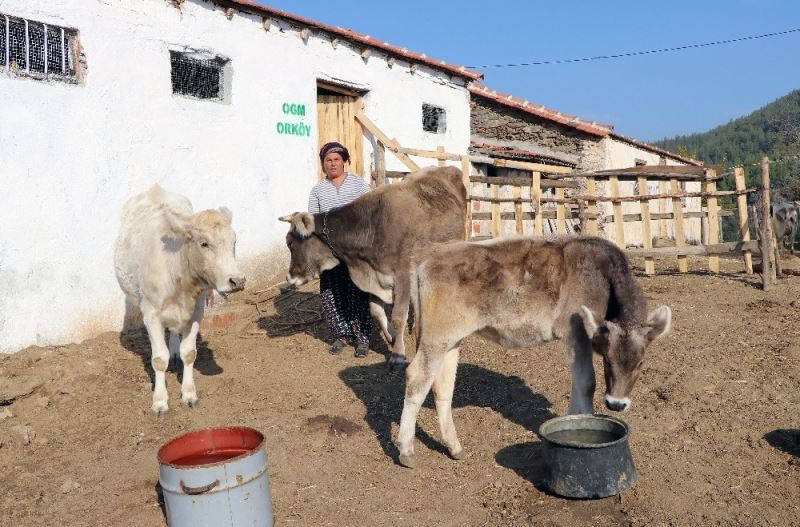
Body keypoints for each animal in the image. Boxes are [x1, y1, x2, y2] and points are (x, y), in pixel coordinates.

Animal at [113, 188, 244, 414]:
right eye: (204, 243)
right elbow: (158, 359)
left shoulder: (197, 310)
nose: (237, 280)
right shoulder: (151, 314)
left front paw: (189, 394)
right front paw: (159, 401)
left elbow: (189, 352)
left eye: (233, 241)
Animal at [282, 167, 468, 370]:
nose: (289, 277)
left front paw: (397, 355)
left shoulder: (403, 275)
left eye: (290, 243)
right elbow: (376, 312)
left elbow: (398, 317)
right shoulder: (375, 277)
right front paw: (392, 336)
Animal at [396, 237, 672, 468]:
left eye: (641, 363)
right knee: (417, 377)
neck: (602, 277)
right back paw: (406, 450)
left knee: (442, 385)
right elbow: (586, 383)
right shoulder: (575, 331)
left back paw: (454, 447)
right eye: (607, 359)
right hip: (436, 336)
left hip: (451, 339)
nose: (616, 404)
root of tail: (429, 253)